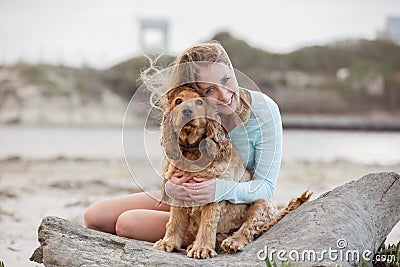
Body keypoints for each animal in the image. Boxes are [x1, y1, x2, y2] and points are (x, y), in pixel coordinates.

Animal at [153, 86, 312, 260]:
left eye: (199, 102)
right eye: (178, 101)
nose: (187, 111)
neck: (193, 153)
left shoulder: (212, 194)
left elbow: (207, 224)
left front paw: (201, 249)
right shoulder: (178, 190)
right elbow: (174, 221)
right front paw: (168, 243)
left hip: (262, 203)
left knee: (249, 229)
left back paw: (232, 242)